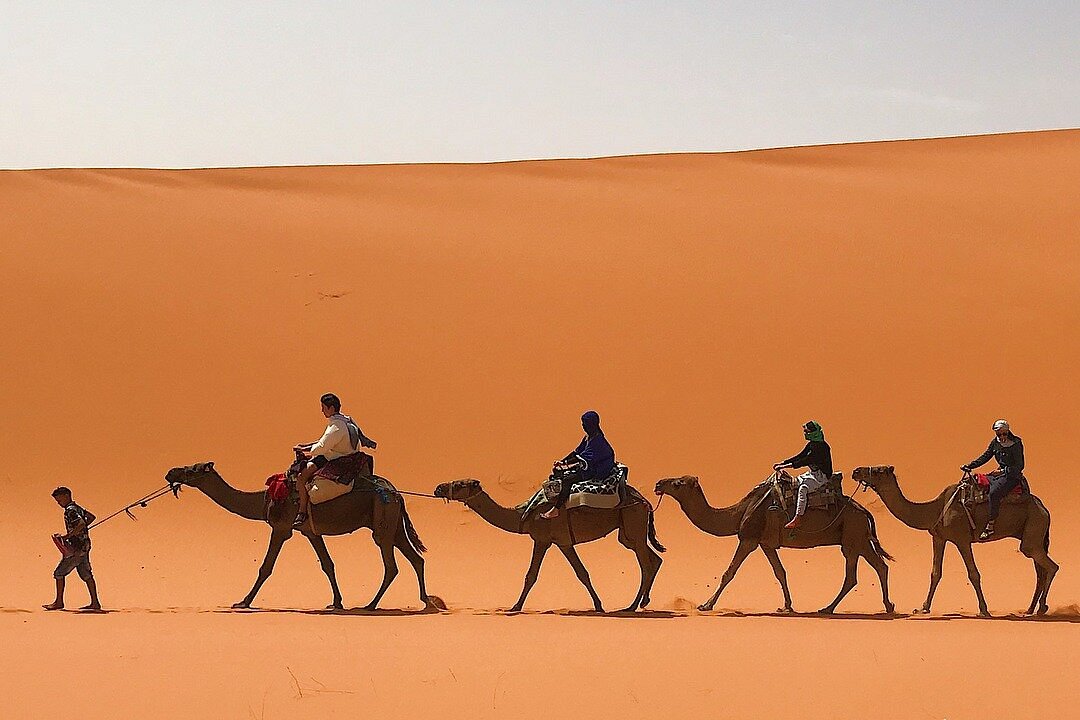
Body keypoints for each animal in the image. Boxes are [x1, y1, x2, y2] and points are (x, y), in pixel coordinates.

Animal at [164, 464, 434, 613]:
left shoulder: (282, 527)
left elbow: (266, 567)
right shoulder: (310, 531)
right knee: (415, 558)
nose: (170, 472)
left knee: (391, 565)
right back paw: (427, 602)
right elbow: (327, 565)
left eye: (192, 468)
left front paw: (243, 602)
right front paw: (336, 602)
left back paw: (370, 605)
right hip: (393, 524)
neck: (264, 498)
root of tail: (396, 492)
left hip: (383, 519)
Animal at [434, 479, 660, 613]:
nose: (438, 488)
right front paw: (598, 605)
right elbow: (581, 573)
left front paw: (515, 607)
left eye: (460, 484)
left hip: (633, 520)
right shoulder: (559, 542)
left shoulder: (546, 539)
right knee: (654, 559)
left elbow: (534, 575)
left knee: (646, 565)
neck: (525, 514)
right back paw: (643, 602)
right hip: (628, 533)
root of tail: (645, 501)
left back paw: (631, 606)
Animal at [656, 474, 894, 617]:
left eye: (677, 483)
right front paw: (786, 606)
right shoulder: (766, 544)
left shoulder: (749, 539)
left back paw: (831, 608)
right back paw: (883, 606)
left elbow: (729, 572)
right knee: (877, 567)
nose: (658, 484)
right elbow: (780, 572)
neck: (739, 512)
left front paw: (706, 605)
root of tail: (864, 510)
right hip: (858, 538)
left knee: (857, 573)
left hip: (854, 536)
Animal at [851, 468, 1054, 621]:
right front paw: (923, 608)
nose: (856, 471)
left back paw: (1041, 608)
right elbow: (935, 573)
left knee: (1051, 567)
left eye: (879, 470)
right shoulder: (939, 538)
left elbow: (973, 574)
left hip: (1033, 529)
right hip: (1032, 536)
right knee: (1040, 571)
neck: (934, 509)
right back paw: (1030, 609)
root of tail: (1045, 509)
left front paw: (984, 610)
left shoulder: (962, 539)